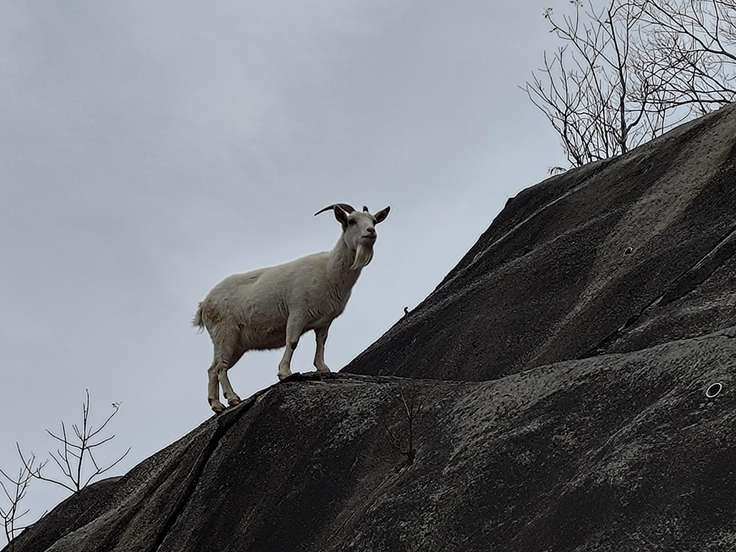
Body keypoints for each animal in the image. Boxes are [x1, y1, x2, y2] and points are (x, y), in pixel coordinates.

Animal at [194, 203, 390, 413]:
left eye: (374, 221)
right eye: (351, 221)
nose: (371, 232)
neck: (329, 271)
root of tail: (204, 304)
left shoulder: (325, 320)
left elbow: (321, 342)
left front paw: (323, 368)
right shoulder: (298, 312)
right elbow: (293, 341)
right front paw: (285, 373)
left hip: (236, 344)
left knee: (212, 368)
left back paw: (216, 405)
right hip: (225, 332)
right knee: (220, 367)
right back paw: (232, 399)